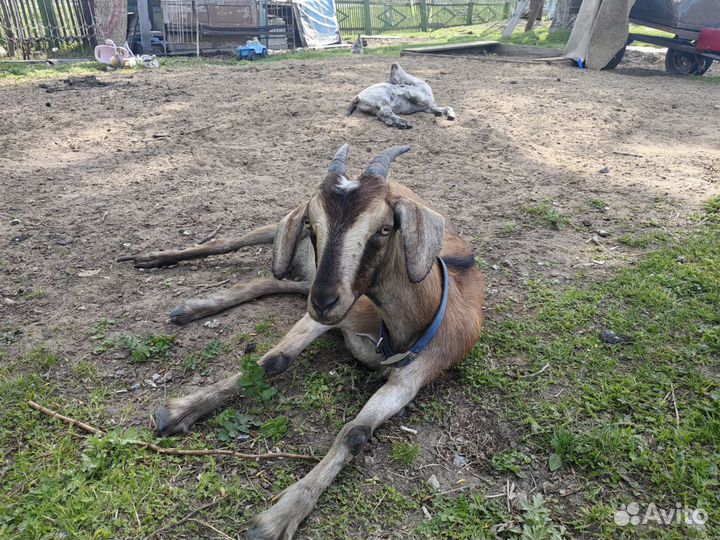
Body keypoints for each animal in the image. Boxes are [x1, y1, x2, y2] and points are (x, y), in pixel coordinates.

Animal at [117, 145, 485, 540]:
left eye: (385, 228)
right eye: (311, 224)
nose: (325, 300)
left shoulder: (415, 373)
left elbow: (355, 433)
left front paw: (283, 513)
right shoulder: (332, 314)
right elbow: (273, 360)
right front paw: (181, 410)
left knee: (274, 281)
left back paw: (196, 306)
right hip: (281, 236)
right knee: (230, 242)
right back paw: (154, 261)